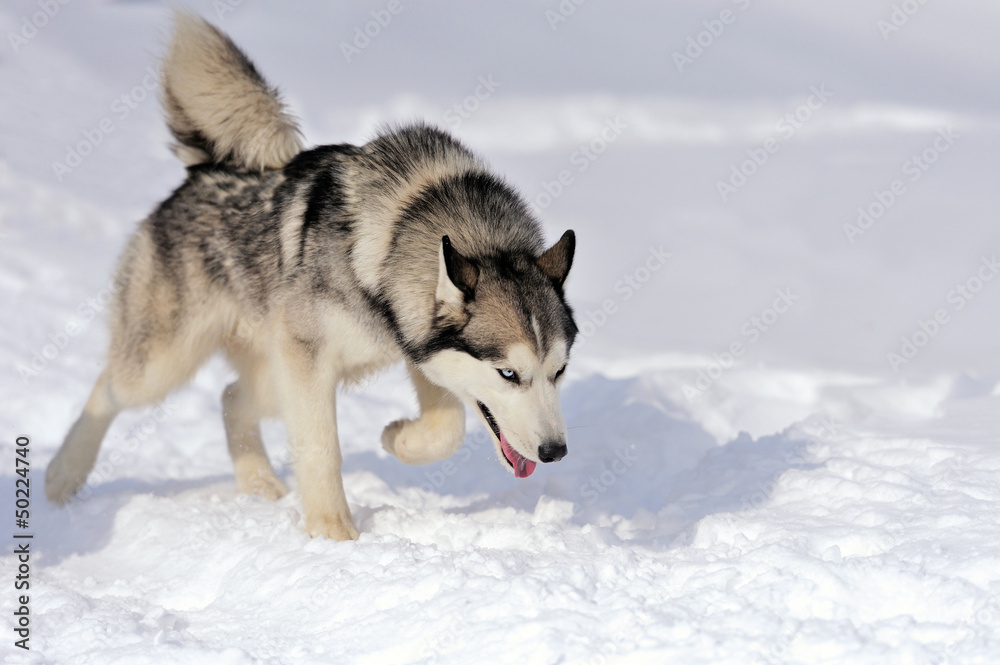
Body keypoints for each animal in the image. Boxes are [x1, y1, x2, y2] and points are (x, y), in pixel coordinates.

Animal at [45, 11, 580, 540]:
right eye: (508, 374)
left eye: (559, 371)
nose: (555, 452)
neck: (403, 224)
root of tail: (206, 169)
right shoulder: (309, 359)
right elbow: (323, 450)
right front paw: (332, 535)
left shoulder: (413, 342)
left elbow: (446, 428)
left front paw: (397, 438)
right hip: (168, 364)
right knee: (109, 388)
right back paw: (62, 476)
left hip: (270, 373)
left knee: (230, 396)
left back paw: (259, 484)